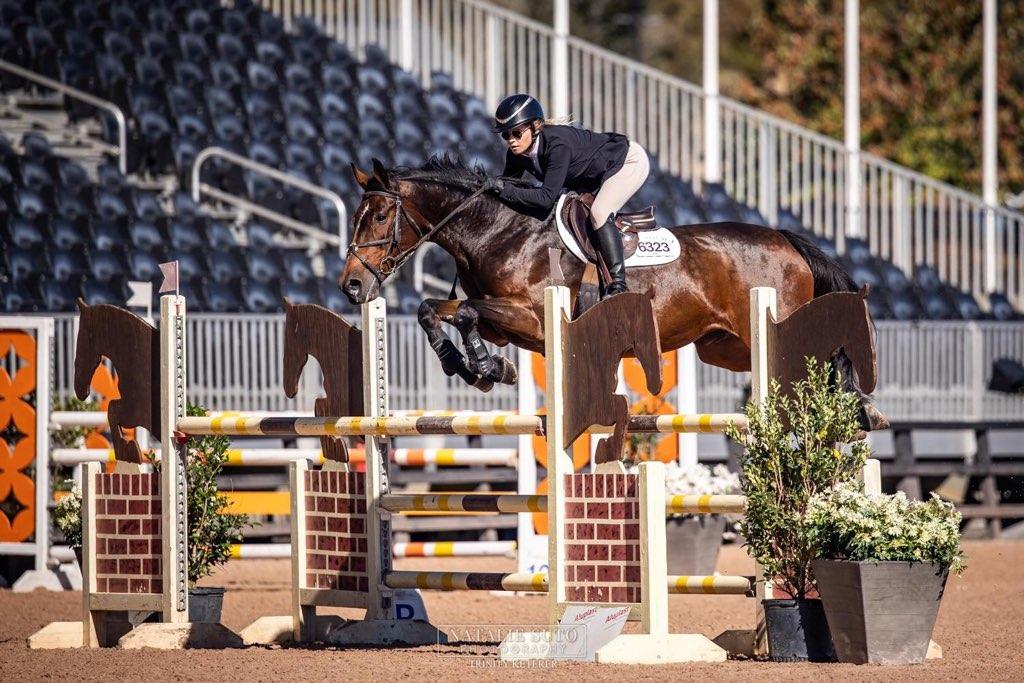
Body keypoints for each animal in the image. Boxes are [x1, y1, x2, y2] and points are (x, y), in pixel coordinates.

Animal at [340, 156, 887, 432]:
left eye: (381, 216)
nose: (351, 286)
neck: (499, 230)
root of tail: (787, 240)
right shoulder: (505, 322)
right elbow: (434, 309)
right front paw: (473, 366)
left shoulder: (533, 319)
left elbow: (467, 313)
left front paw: (485, 367)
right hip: (724, 348)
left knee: (825, 363)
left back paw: (861, 409)